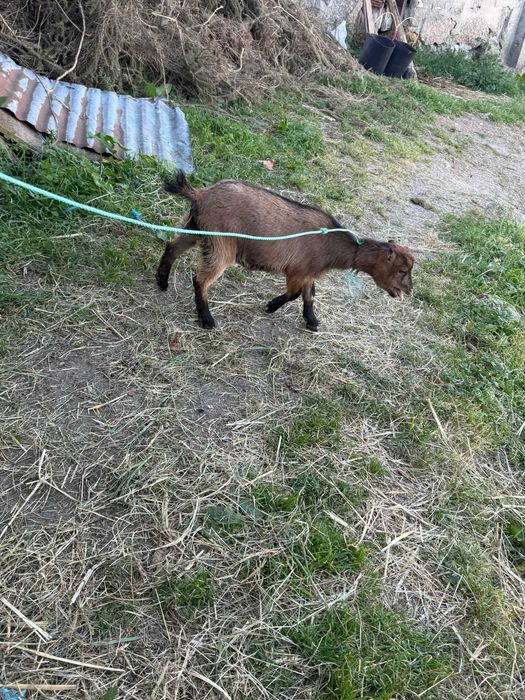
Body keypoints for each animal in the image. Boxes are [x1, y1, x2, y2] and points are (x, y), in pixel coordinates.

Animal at [156, 173, 414, 331]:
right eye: (402, 270)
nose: (409, 291)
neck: (333, 244)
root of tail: (201, 194)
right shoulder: (297, 270)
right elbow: (295, 293)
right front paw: (271, 306)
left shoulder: (308, 272)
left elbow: (310, 295)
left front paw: (312, 321)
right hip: (222, 243)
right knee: (201, 279)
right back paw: (207, 319)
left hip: (197, 228)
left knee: (172, 247)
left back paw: (162, 282)